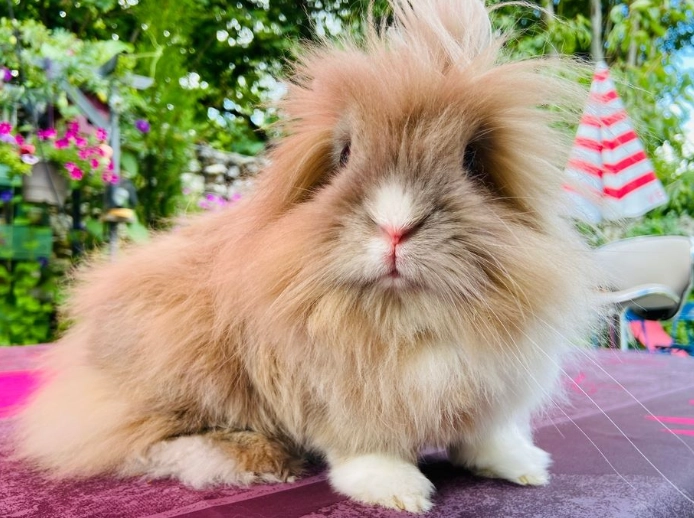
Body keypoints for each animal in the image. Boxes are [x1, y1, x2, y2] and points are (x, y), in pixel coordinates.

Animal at [14, 0, 597, 513]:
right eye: (343, 154)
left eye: (473, 158)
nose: (395, 225)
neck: (403, 317)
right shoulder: (337, 396)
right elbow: (367, 447)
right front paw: (399, 492)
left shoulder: (492, 388)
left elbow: (488, 435)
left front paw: (525, 467)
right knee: (138, 440)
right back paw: (252, 460)